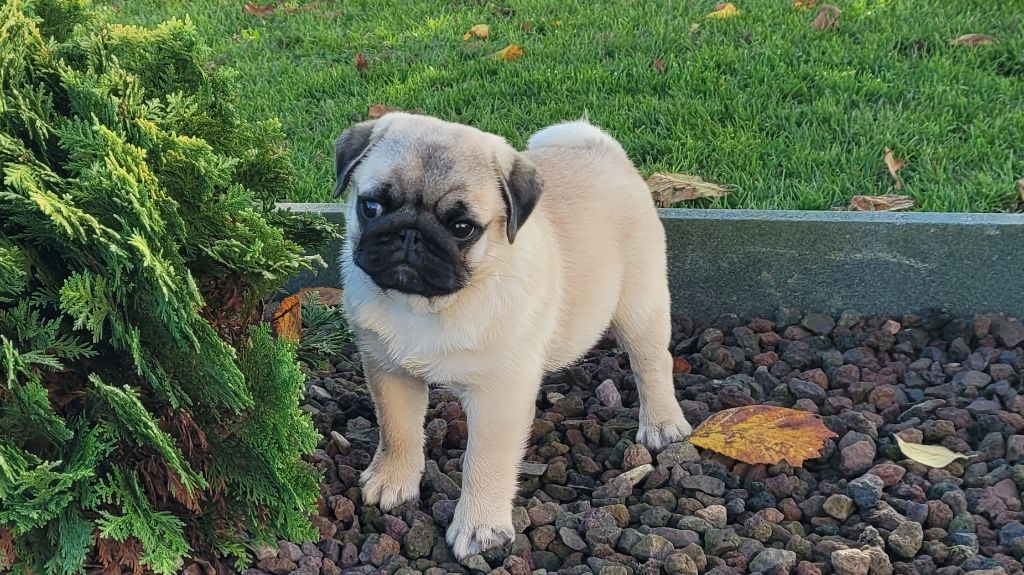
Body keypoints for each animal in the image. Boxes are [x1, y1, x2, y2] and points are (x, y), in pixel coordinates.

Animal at [331, 112, 692, 556]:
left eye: (462, 228)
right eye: (371, 207)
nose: (409, 234)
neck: (427, 307)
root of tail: (601, 149)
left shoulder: (498, 397)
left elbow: (485, 462)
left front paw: (480, 527)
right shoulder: (390, 372)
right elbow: (397, 431)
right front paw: (393, 480)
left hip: (640, 307)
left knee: (651, 364)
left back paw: (662, 424)